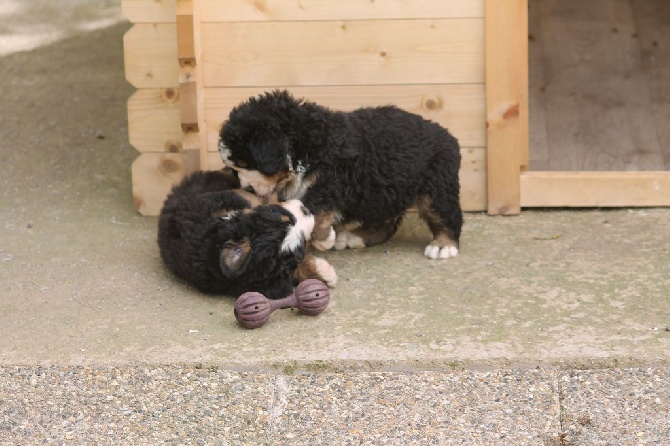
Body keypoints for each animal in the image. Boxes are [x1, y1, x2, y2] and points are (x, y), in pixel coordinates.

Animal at [218, 89, 464, 260]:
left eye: (246, 163)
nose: (246, 189)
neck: (306, 147)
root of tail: (447, 136)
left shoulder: (330, 182)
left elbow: (314, 211)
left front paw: (324, 240)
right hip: (386, 189)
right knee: (387, 221)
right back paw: (357, 236)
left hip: (436, 187)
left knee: (447, 216)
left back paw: (443, 245)